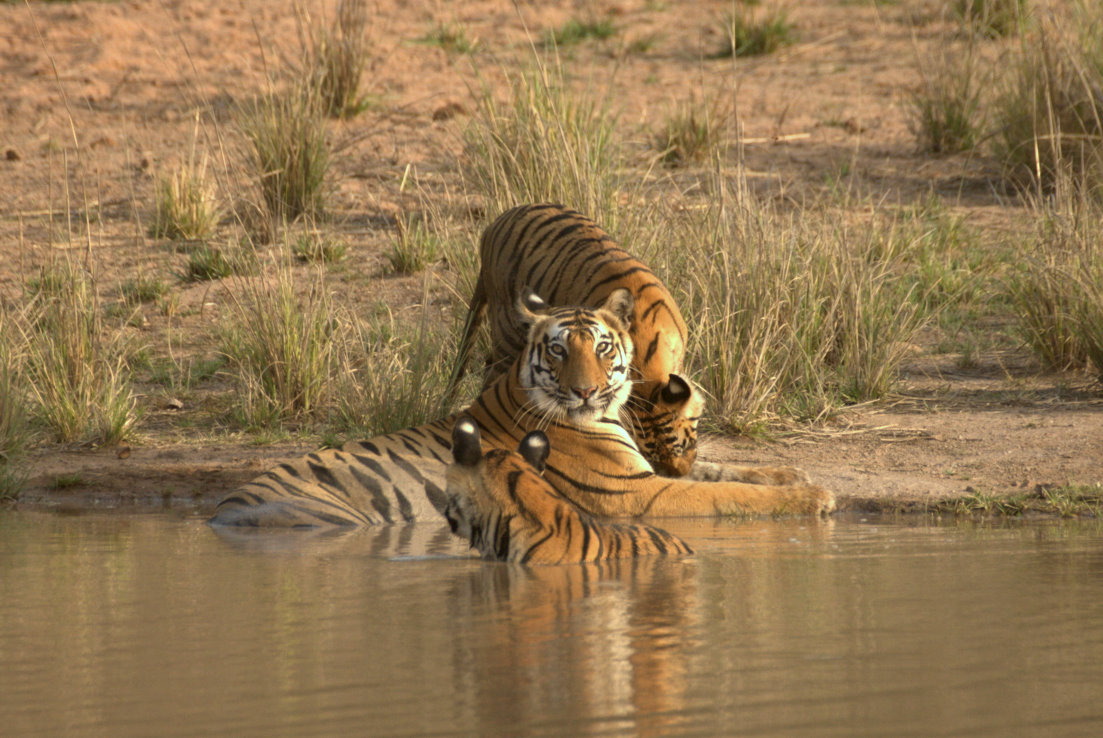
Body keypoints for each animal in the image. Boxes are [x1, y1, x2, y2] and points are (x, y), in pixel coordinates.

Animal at [207, 284, 829, 527]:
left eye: (603, 348)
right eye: (558, 350)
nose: (585, 391)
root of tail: (220, 510)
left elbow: (730, 470)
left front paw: (795, 474)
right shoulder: (636, 494)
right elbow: (728, 494)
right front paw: (814, 498)